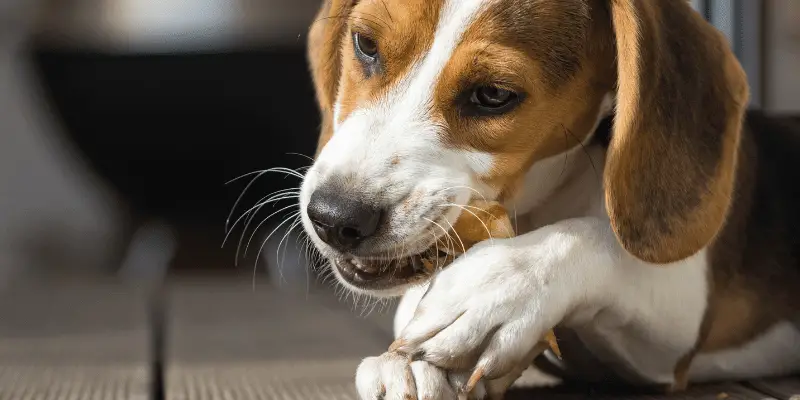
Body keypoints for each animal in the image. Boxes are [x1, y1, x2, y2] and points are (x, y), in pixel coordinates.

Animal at [296, 0, 800, 398]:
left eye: (494, 94)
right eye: (365, 44)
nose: (334, 216)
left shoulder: (677, 328)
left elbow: (598, 240)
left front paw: (493, 289)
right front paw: (408, 364)